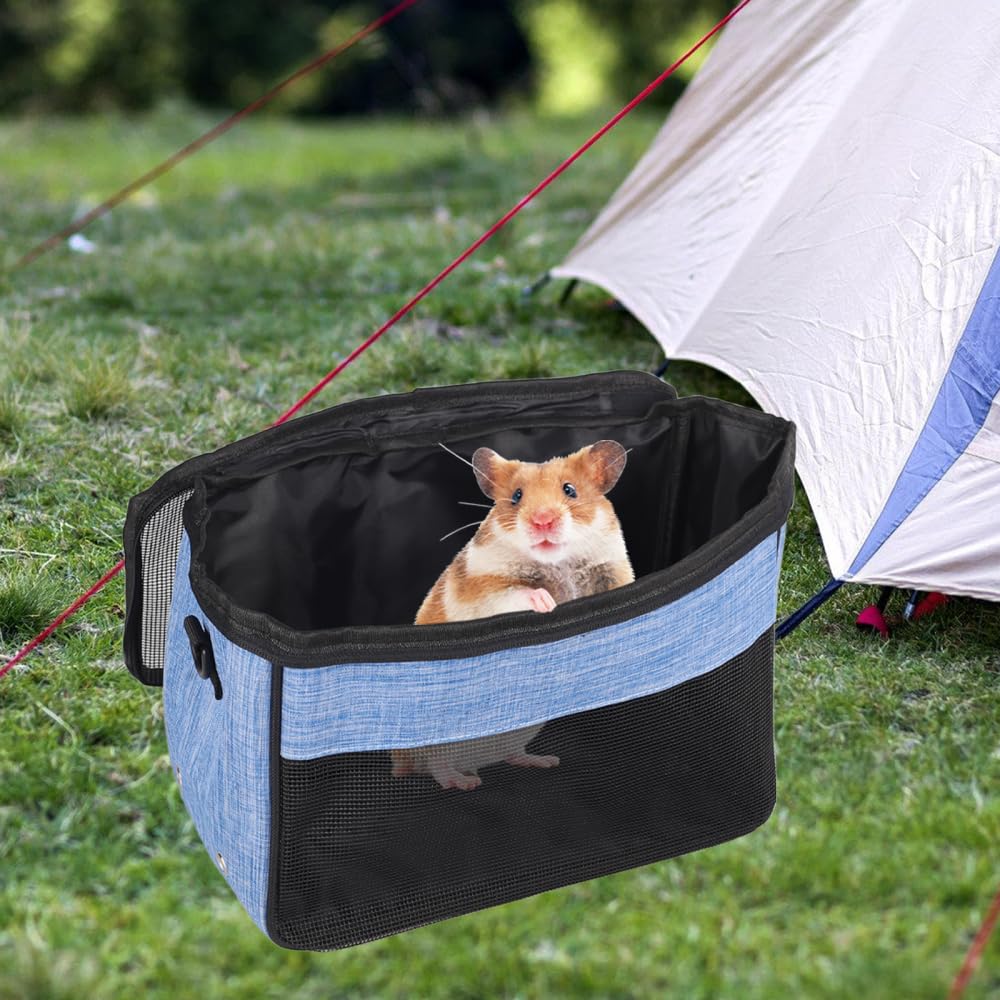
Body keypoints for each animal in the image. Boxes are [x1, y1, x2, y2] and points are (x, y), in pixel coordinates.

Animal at [391, 439, 635, 791]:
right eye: (517, 496)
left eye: (570, 490)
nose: (542, 521)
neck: (556, 562)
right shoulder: (482, 589)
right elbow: (516, 593)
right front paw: (547, 601)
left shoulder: (612, 568)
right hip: (435, 740)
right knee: (437, 766)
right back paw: (465, 782)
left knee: (508, 754)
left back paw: (544, 760)